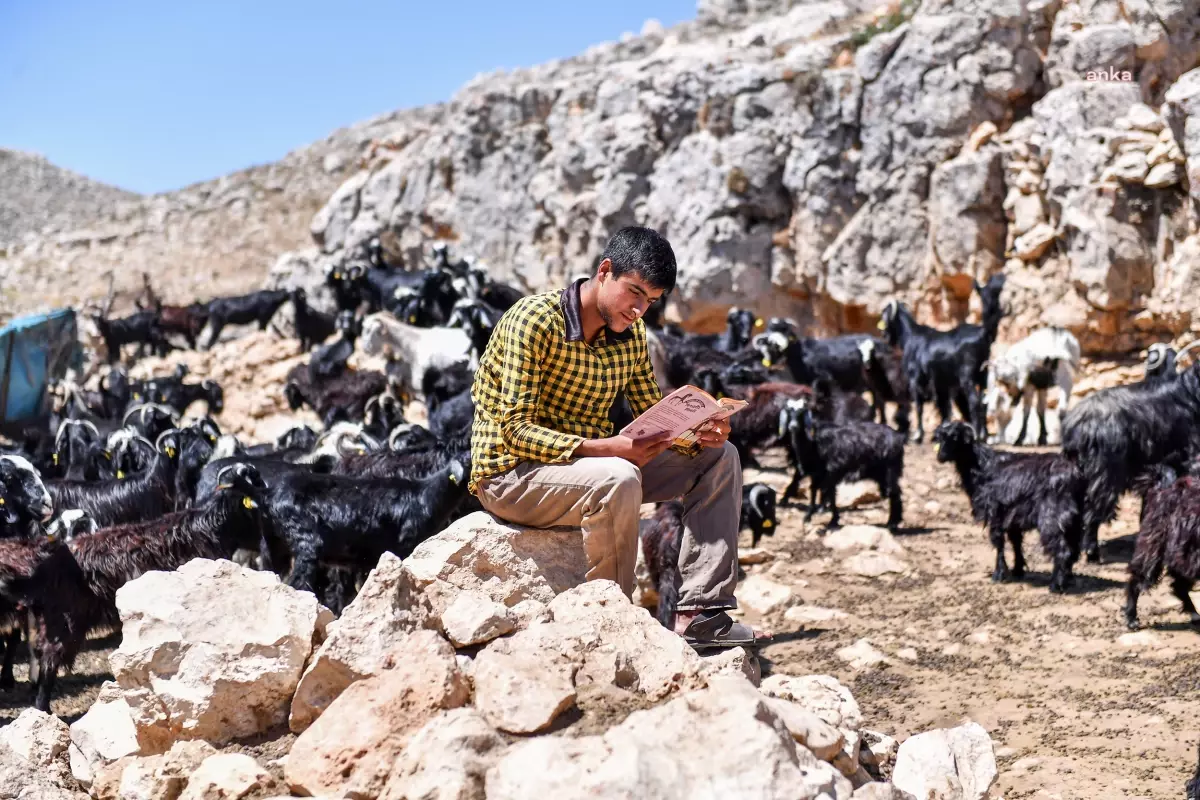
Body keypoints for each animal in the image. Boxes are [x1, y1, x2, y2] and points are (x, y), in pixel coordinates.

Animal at [777, 395, 902, 532]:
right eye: (789, 411)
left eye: (802, 412)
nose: (793, 426)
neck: (813, 442)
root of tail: (898, 437)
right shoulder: (818, 475)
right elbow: (815, 491)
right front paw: (808, 516)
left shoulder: (832, 472)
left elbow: (830, 494)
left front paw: (832, 521)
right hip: (881, 474)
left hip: (890, 471)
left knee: (894, 493)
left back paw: (892, 524)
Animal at [931, 422, 1084, 592]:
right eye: (940, 437)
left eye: (955, 437)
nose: (940, 457)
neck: (980, 464)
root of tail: (1073, 471)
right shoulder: (1012, 515)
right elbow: (1015, 542)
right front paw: (1018, 570)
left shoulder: (995, 512)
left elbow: (999, 543)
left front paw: (998, 575)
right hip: (1074, 518)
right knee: (1073, 548)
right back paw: (1067, 579)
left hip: (1052, 517)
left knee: (1063, 550)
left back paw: (1056, 585)